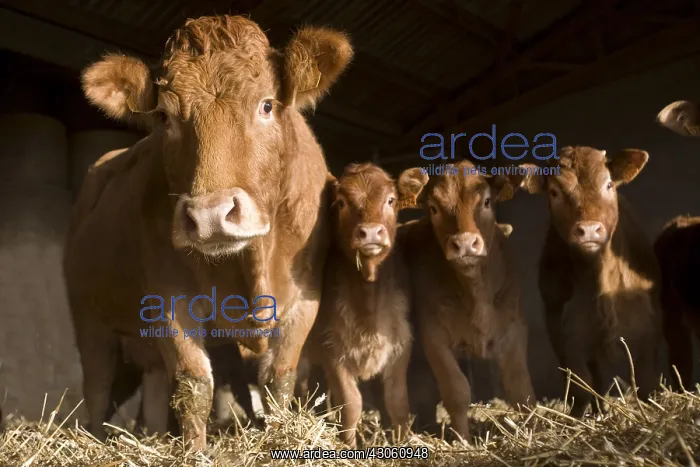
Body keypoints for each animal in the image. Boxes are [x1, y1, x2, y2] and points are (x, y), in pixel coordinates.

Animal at [63, 14, 353, 448]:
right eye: (165, 117)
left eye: (267, 104)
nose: (211, 215)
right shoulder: (167, 299)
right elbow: (194, 385)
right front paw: (195, 452)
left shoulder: (305, 298)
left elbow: (279, 380)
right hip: (90, 321)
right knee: (97, 390)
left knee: (153, 387)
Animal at [300, 163, 422, 447]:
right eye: (341, 202)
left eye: (391, 200)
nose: (370, 232)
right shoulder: (332, 349)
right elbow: (351, 405)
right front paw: (347, 445)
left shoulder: (401, 345)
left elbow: (397, 402)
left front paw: (401, 442)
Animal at [396, 161, 535, 441]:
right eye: (433, 208)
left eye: (487, 201)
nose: (465, 243)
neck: (475, 289)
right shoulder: (433, 335)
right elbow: (456, 391)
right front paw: (463, 441)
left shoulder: (515, 327)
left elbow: (520, 388)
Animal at [519, 146, 661, 417]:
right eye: (554, 192)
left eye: (608, 184)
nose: (588, 230)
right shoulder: (563, 331)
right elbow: (581, 386)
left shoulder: (645, 327)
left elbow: (645, 382)